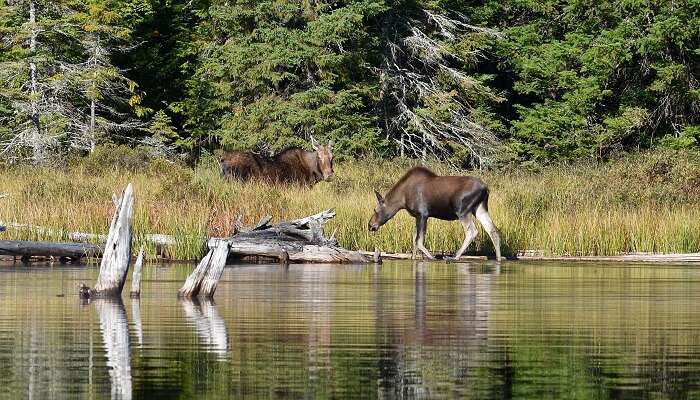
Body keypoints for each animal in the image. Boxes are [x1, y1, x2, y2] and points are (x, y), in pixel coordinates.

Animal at [366, 167, 504, 260]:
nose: (370, 225)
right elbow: (414, 239)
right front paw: (413, 258)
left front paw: (432, 257)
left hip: (462, 210)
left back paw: (455, 256)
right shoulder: (418, 216)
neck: (402, 200)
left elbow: (418, 240)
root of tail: (486, 189)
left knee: (472, 231)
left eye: (375, 210)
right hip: (480, 209)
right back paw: (498, 258)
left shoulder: (422, 214)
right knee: (493, 229)